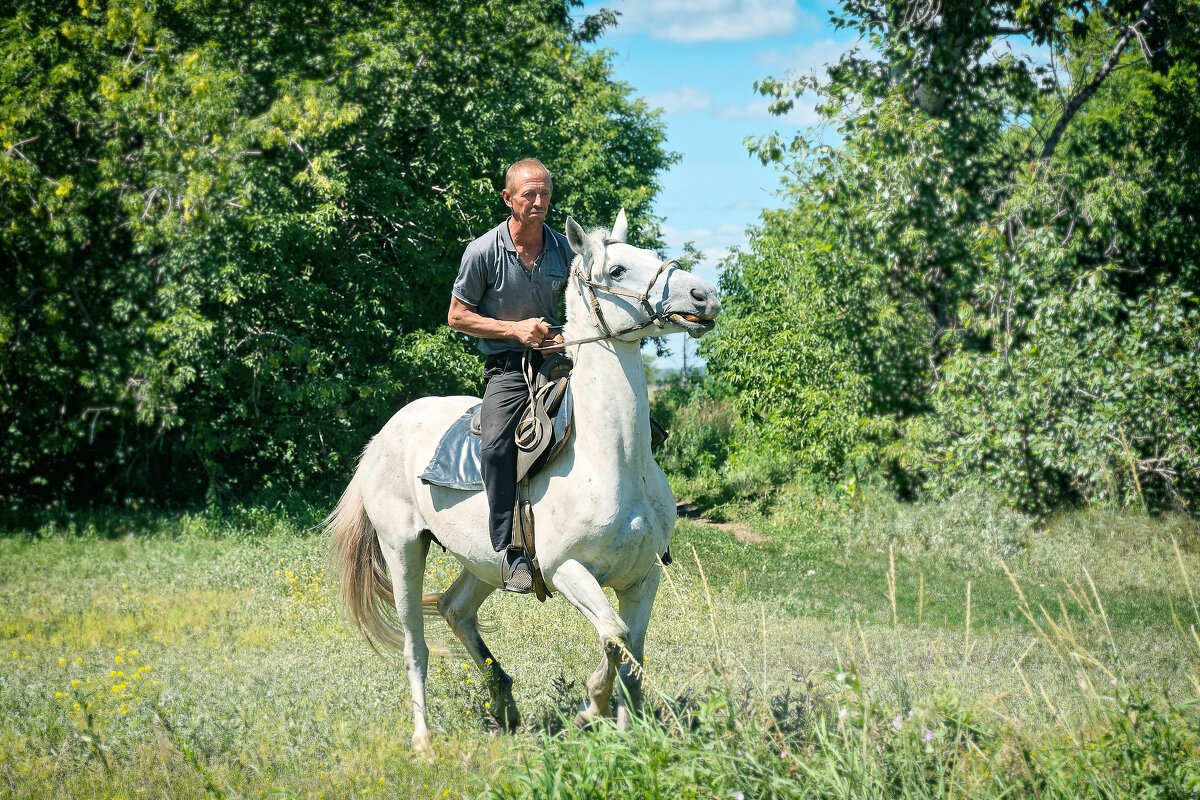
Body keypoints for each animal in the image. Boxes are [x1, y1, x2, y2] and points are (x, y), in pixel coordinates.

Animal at [326, 209, 720, 753]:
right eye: (617, 269)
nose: (704, 296)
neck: (612, 461)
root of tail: (383, 435)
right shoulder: (566, 570)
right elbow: (615, 637)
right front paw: (589, 709)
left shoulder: (644, 577)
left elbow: (633, 656)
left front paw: (626, 733)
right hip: (402, 548)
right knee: (415, 646)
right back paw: (424, 739)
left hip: (484, 559)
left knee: (454, 609)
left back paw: (506, 706)